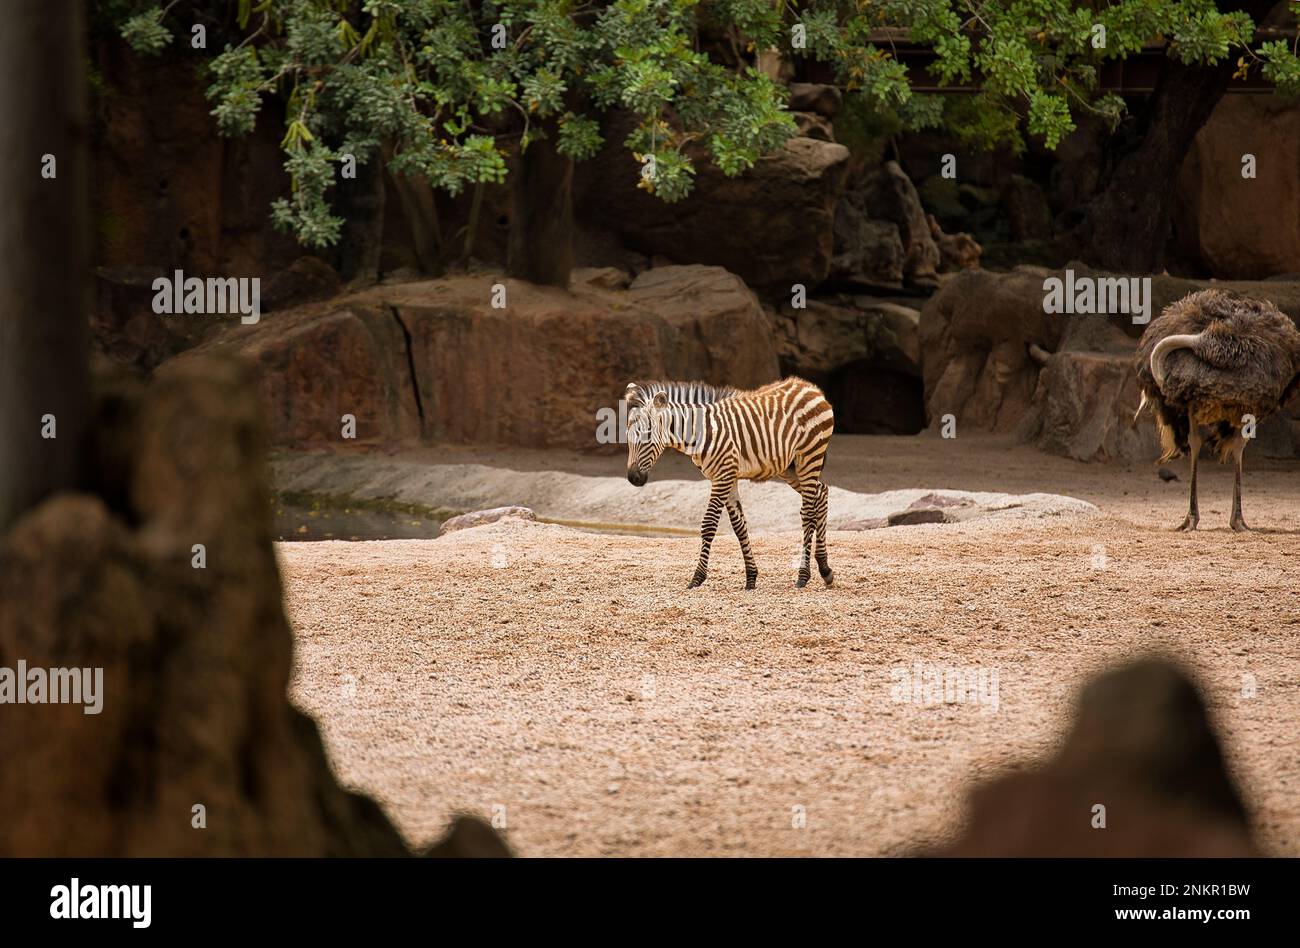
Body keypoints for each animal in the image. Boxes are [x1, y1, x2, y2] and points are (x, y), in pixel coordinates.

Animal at [626, 374, 832, 585]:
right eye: (627, 436)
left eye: (647, 435)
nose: (633, 478)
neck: (700, 432)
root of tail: (807, 386)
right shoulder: (727, 476)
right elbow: (739, 526)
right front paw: (751, 577)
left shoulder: (723, 476)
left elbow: (709, 524)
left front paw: (697, 578)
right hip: (790, 468)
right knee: (821, 493)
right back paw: (824, 569)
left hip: (809, 456)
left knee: (808, 513)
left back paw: (803, 575)